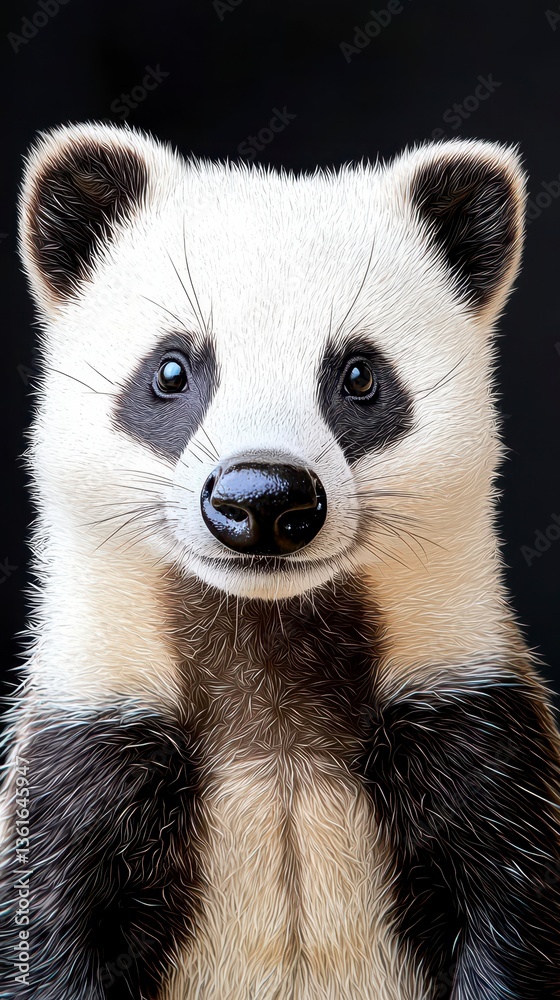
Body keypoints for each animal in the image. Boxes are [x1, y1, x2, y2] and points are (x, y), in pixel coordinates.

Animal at [0, 122, 559, 1000]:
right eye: (172, 369)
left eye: (360, 374)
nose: (262, 494)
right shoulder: (83, 743)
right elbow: (49, 927)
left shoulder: (476, 721)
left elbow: (510, 911)